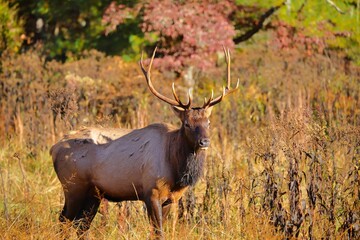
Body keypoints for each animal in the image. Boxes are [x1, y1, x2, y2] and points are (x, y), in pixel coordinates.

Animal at [49, 47, 238, 238]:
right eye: (187, 123)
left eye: (208, 122)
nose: (204, 141)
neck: (176, 169)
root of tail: (53, 149)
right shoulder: (151, 192)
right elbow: (158, 232)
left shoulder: (171, 198)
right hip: (73, 186)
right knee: (63, 221)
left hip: (93, 193)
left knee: (81, 225)